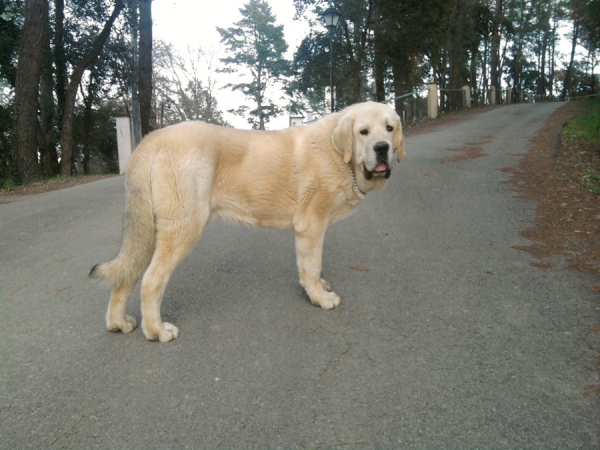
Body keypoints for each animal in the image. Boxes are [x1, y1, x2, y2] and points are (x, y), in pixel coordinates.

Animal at [89, 102, 406, 342]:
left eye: (390, 129)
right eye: (363, 132)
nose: (381, 148)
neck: (338, 154)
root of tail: (151, 140)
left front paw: (320, 288)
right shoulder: (311, 225)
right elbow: (311, 266)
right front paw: (319, 297)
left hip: (149, 231)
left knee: (126, 276)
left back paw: (119, 323)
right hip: (182, 228)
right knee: (151, 280)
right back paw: (157, 331)